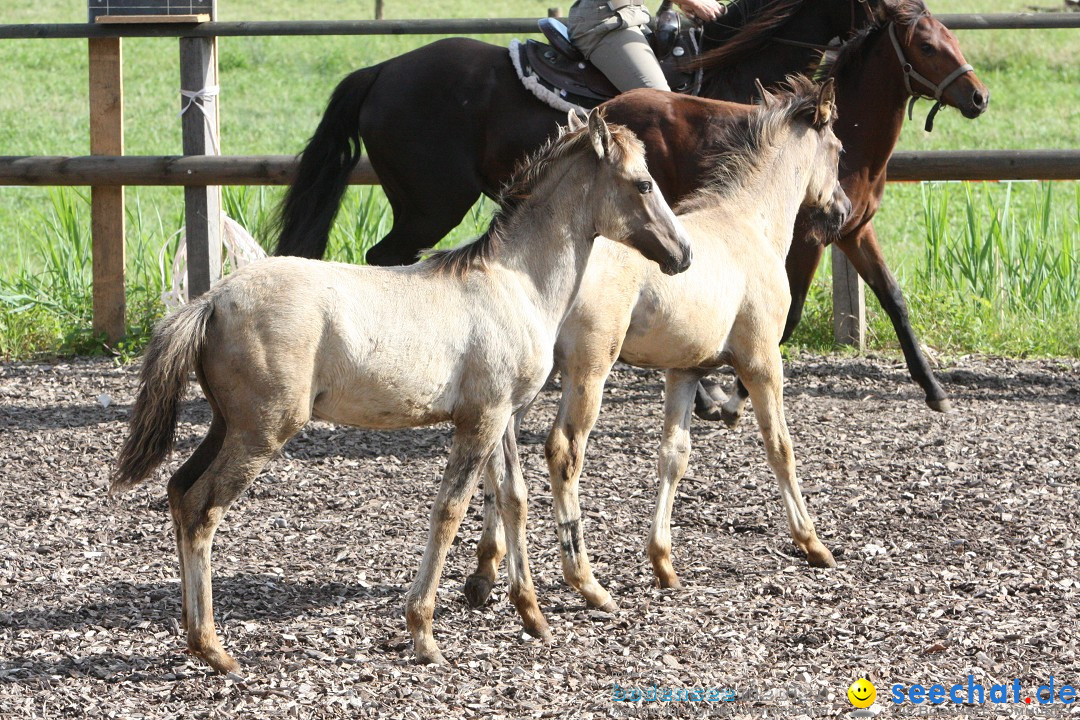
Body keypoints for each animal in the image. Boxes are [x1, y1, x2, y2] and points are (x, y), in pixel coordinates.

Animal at [111, 110, 691, 673]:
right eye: (643, 183)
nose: (683, 254)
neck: (516, 284)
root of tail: (210, 301)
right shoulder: (480, 420)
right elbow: (450, 510)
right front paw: (424, 636)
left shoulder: (502, 417)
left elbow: (512, 500)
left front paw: (533, 616)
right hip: (261, 431)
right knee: (203, 507)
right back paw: (214, 649)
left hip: (224, 424)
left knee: (179, 491)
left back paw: (195, 638)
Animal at [276, 0, 989, 414]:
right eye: (927, 44)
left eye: (950, 33)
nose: (978, 96)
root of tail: (381, 69)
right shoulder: (806, 239)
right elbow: (782, 318)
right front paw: (726, 389)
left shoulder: (851, 229)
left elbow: (893, 299)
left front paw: (934, 390)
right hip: (430, 205)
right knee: (387, 260)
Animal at [464, 77, 851, 608]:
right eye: (839, 149)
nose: (844, 209)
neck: (749, 223)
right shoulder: (761, 360)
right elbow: (780, 445)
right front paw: (813, 543)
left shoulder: (685, 371)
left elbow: (674, 455)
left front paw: (663, 563)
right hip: (588, 369)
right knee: (563, 450)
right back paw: (584, 580)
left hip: (530, 378)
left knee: (497, 458)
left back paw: (484, 572)